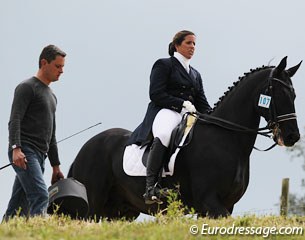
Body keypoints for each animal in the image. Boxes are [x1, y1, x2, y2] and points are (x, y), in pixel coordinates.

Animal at [68, 57, 300, 219]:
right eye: (278, 93)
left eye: (294, 95)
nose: (292, 136)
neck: (226, 139)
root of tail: (86, 146)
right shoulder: (210, 201)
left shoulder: (226, 205)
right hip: (93, 205)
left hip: (120, 212)